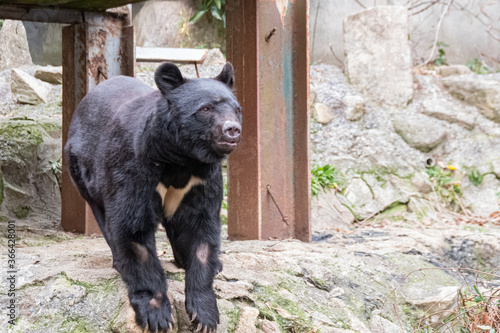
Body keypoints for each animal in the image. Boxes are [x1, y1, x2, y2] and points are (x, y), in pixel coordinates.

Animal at [65, 63, 241, 332]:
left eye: (237, 109)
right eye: (205, 109)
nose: (232, 129)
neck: (180, 159)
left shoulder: (202, 178)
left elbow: (200, 228)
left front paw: (205, 314)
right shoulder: (135, 166)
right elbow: (133, 228)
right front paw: (157, 314)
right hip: (85, 169)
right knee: (105, 218)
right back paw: (118, 261)